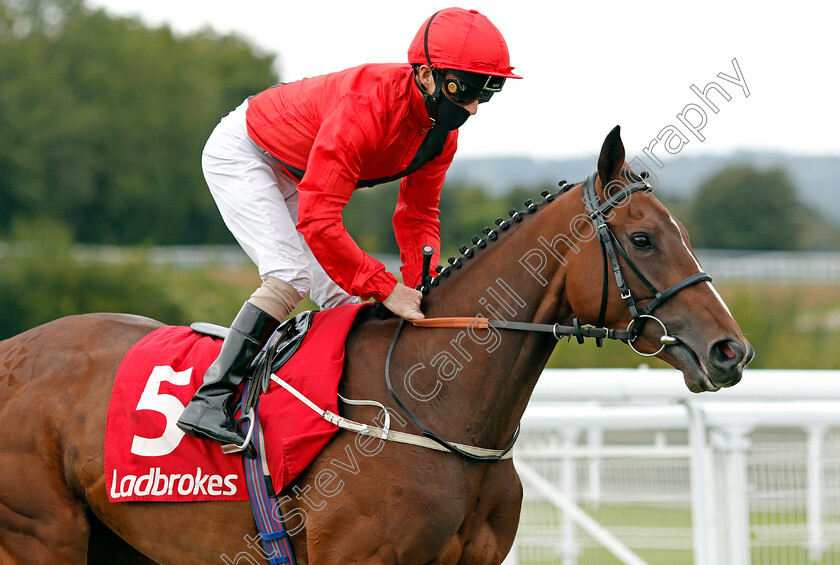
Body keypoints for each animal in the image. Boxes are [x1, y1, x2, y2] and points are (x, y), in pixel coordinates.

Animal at [0, 125, 752, 560]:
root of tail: (13, 351)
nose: (730, 350)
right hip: (41, 533)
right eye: (643, 239)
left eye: (683, 231)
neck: (438, 410)